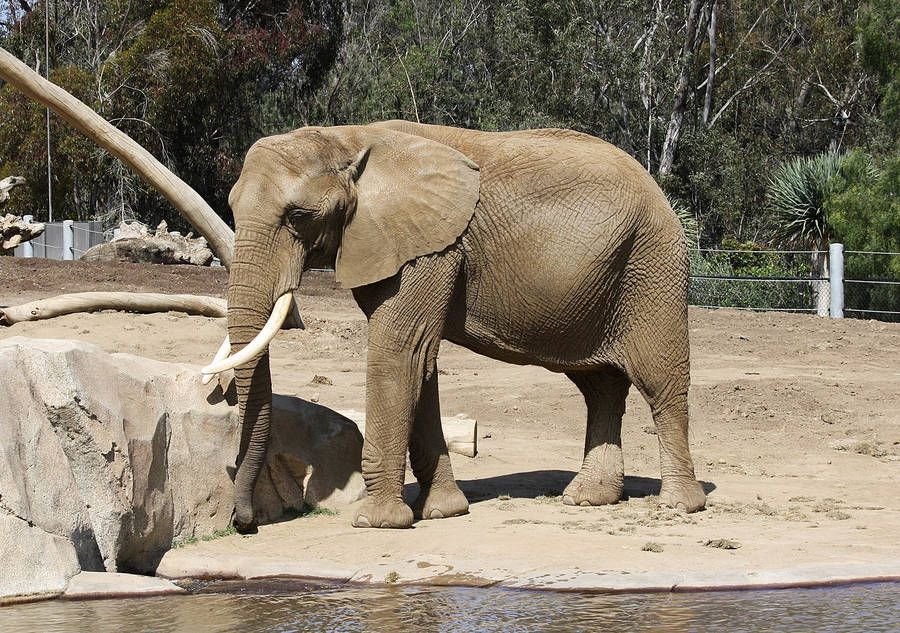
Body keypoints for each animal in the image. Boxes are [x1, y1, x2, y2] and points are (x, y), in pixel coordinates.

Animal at [202, 120, 706, 531]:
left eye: (298, 217)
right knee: (599, 387)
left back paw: (679, 506)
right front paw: (444, 512)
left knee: (660, 383)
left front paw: (377, 522)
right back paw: (588, 499)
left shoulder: (429, 246)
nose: (244, 523)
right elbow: (420, 361)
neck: (348, 137)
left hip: (652, 264)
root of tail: (660, 194)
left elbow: (399, 350)